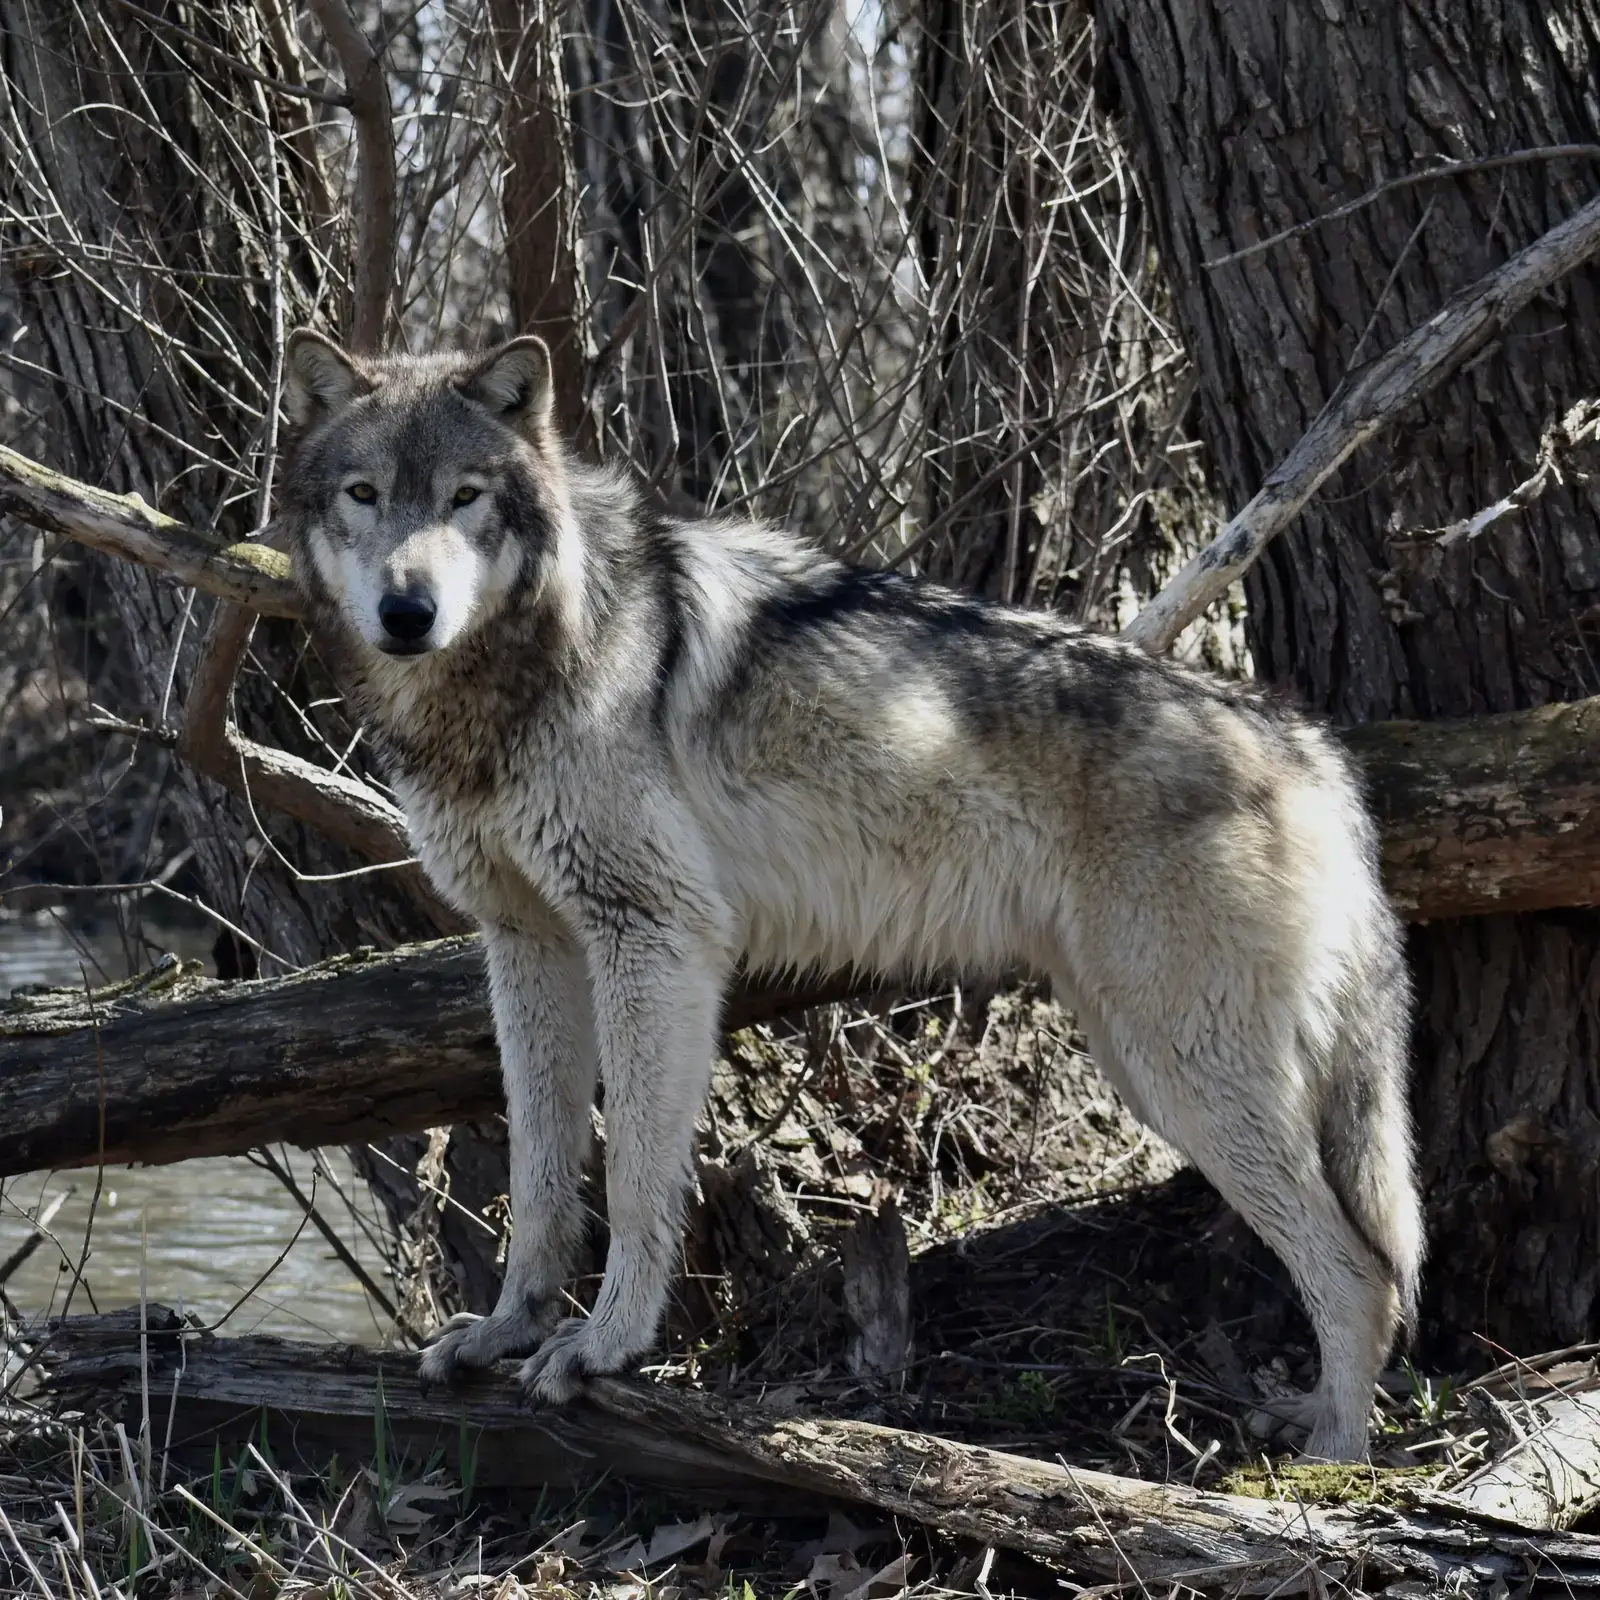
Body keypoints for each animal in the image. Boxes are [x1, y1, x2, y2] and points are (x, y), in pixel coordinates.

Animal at [280, 328, 1424, 1461]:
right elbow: (538, 1170)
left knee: (1361, 1269)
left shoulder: (656, 937)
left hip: (1184, 1072)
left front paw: (603, 1347)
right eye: (364, 494)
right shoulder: (527, 942)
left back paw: (1331, 1465)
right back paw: (1314, 1423)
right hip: (1146, 1065)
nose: (407, 612)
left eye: (466, 497)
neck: (515, 673)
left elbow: (637, 1175)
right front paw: (511, 1327)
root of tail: (1312, 750)